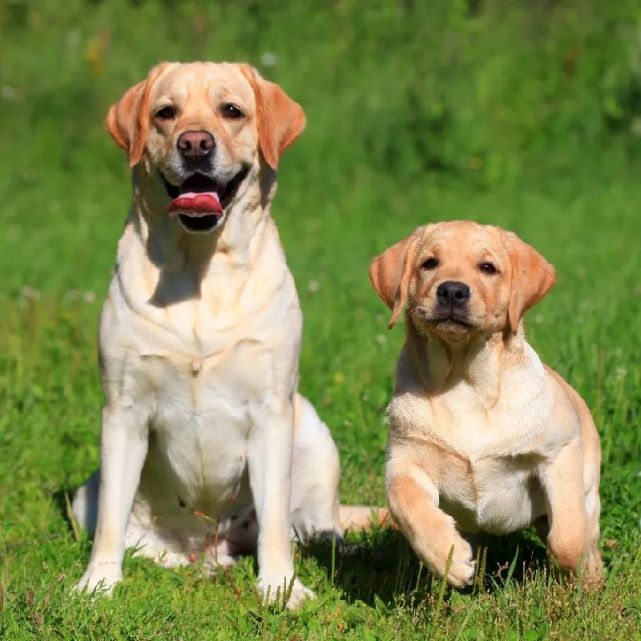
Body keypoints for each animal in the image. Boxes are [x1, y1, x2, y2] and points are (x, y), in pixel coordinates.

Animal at [72, 62, 378, 608]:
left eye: (231, 110)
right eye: (165, 112)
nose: (195, 143)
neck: (200, 266)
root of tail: (208, 546)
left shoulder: (271, 410)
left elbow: (275, 523)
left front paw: (280, 588)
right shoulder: (123, 411)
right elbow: (110, 519)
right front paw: (98, 584)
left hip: (313, 434)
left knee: (315, 528)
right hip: (84, 492)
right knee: (137, 534)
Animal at [368, 222, 604, 588]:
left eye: (488, 267)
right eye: (429, 263)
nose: (452, 291)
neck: (463, 381)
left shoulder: (558, 452)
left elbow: (568, 537)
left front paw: (581, 576)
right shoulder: (405, 459)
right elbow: (406, 504)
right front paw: (448, 557)